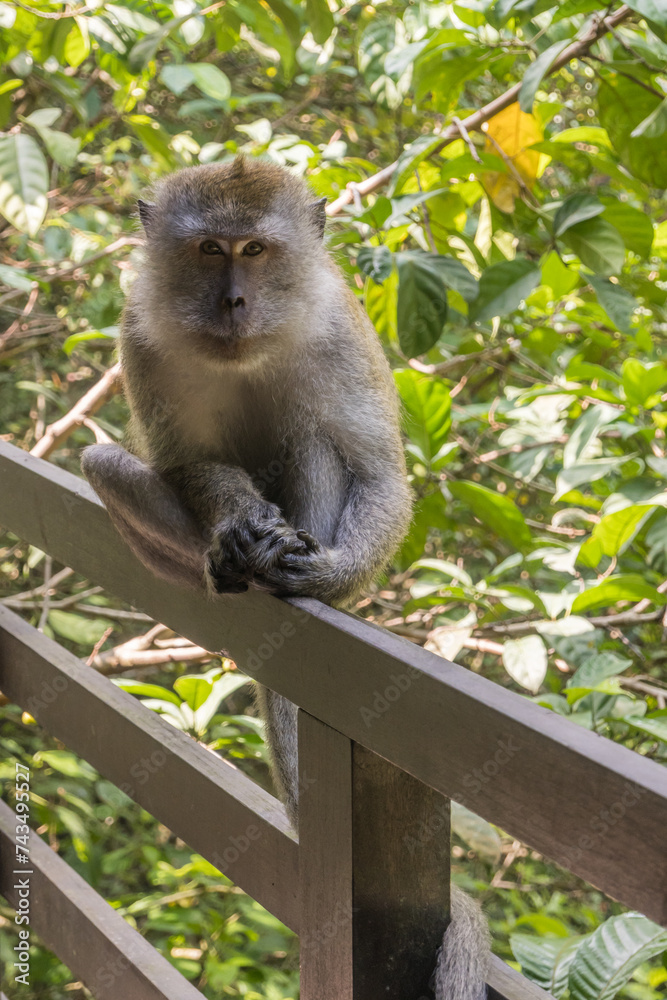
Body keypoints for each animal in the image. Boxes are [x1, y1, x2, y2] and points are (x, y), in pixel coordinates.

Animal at [81, 156, 490, 1000]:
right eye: (209, 249)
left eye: (257, 252)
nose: (234, 300)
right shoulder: (139, 334)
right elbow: (186, 462)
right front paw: (237, 525)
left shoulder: (340, 331)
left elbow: (376, 471)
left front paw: (326, 570)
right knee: (102, 460)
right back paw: (224, 566)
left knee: (314, 441)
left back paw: (293, 581)